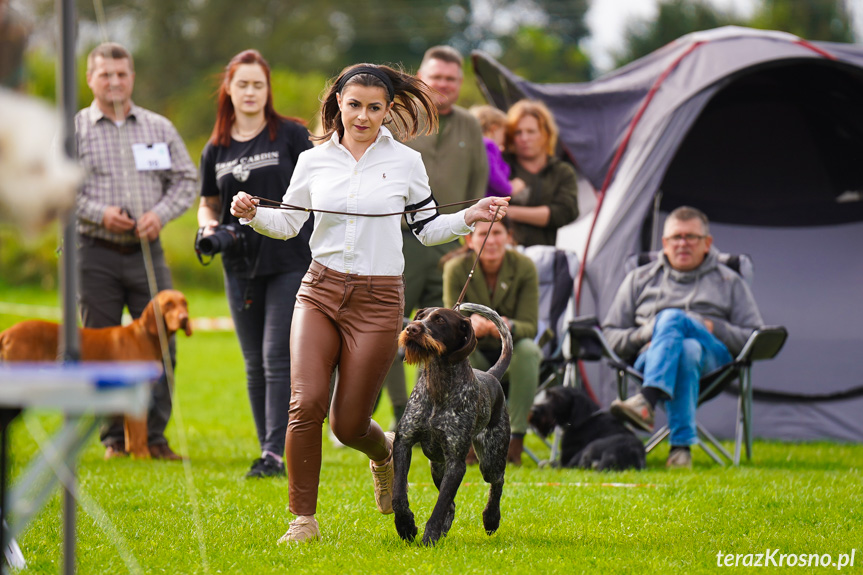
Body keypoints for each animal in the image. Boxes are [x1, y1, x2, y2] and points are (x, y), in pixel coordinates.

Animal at [0, 290, 192, 462]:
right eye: (168, 304)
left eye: (184, 303)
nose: (184, 318)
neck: (144, 336)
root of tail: (7, 333)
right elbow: (139, 432)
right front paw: (143, 457)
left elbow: (131, 434)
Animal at [394, 304, 512, 548]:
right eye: (420, 316)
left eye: (440, 320)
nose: (411, 328)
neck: (438, 384)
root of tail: (491, 375)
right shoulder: (404, 443)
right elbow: (399, 496)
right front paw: (406, 527)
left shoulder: (456, 463)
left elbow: (439, 507)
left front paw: (428, 537)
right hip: (437, 466)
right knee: (452, 505)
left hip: (490, 459)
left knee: (497, 481)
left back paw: (491, 518)